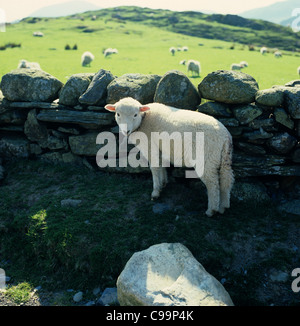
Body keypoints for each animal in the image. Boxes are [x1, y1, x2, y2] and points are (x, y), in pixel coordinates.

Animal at [105, 98, 234, 218]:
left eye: (135, 114)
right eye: (118, 114)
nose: (125, 131)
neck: (143, 120)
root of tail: (225, 136)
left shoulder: (151, 147)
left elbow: (155, 169)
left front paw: (155, 192)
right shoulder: (161, 149)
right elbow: (162, 166)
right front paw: (163, 183)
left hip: (207, 158)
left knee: (213, 184)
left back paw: (211, 210)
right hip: (223, 158)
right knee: (226, 180)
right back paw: (223, 206)